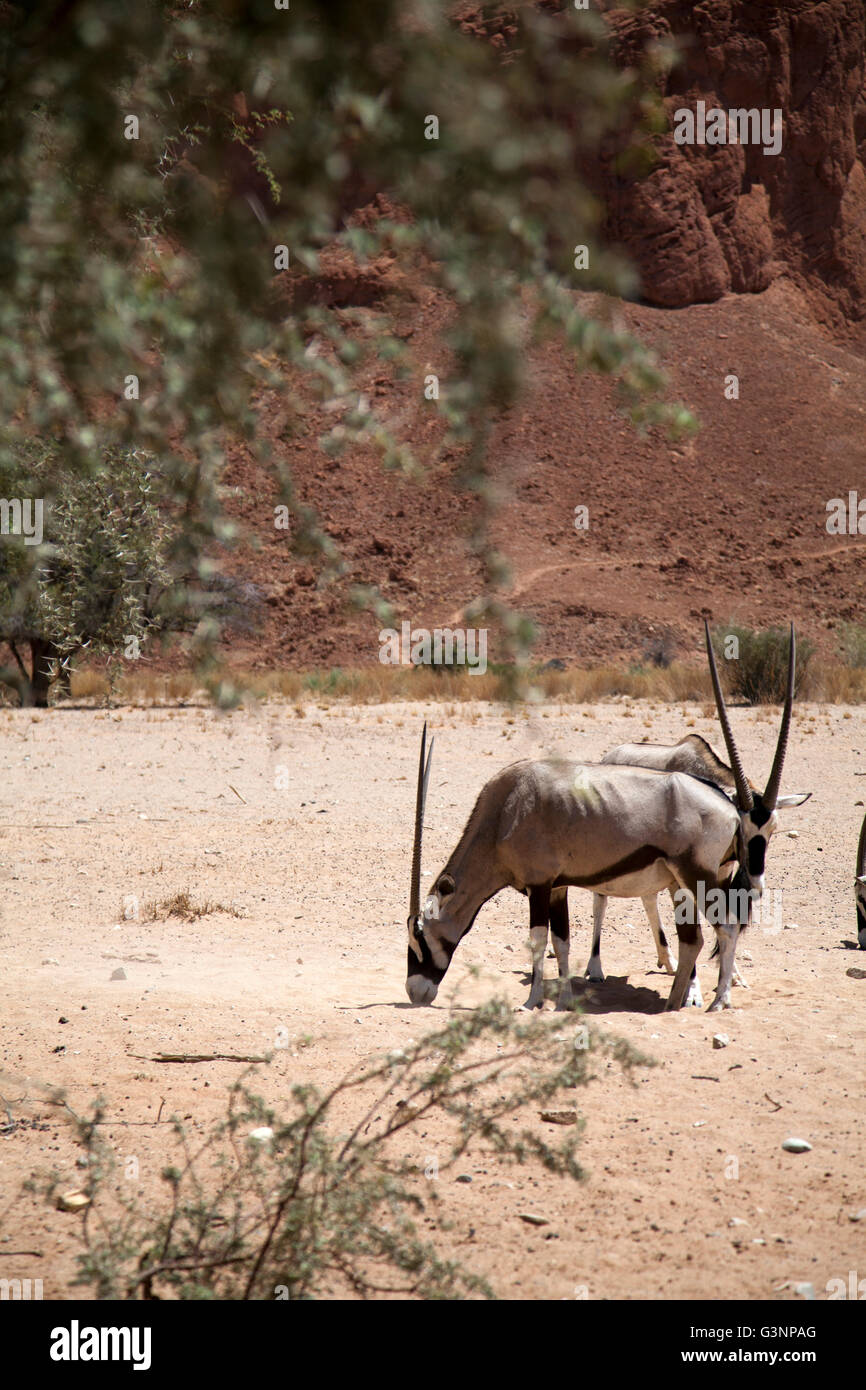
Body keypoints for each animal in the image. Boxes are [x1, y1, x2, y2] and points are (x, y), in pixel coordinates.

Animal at [405, 625, 806, 1017]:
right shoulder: (557, 887)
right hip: (694, 880)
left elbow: (537, 940)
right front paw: (564, 1001)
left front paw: (532, 1002)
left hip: (698, 878)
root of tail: (726, 805)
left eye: (419, 934)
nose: (415, 992)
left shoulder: (539, 885)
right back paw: (674, 1002)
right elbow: (562, 942)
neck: (505, 809)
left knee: (725, 928)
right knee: (695, 938)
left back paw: (719, 1000)